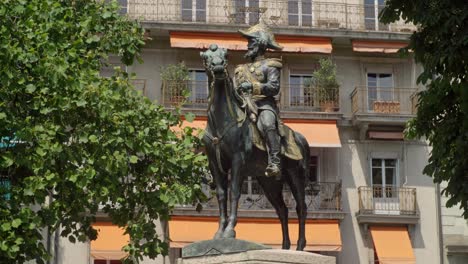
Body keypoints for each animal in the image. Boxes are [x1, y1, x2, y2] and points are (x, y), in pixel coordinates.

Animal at [199, 44, 308, 251]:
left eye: (225, 55)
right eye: (206, 56)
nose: (218, 68)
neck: (221, 120)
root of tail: (300, 138)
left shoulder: (237, 161)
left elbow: (234, 193)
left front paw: (230, 231)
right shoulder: (215, 165)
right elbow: (222, 195)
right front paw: (219, 232)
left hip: (295, 176)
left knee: (301, 207)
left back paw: (299, 246)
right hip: (269, 183)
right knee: (282, 210)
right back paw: (285, 246)